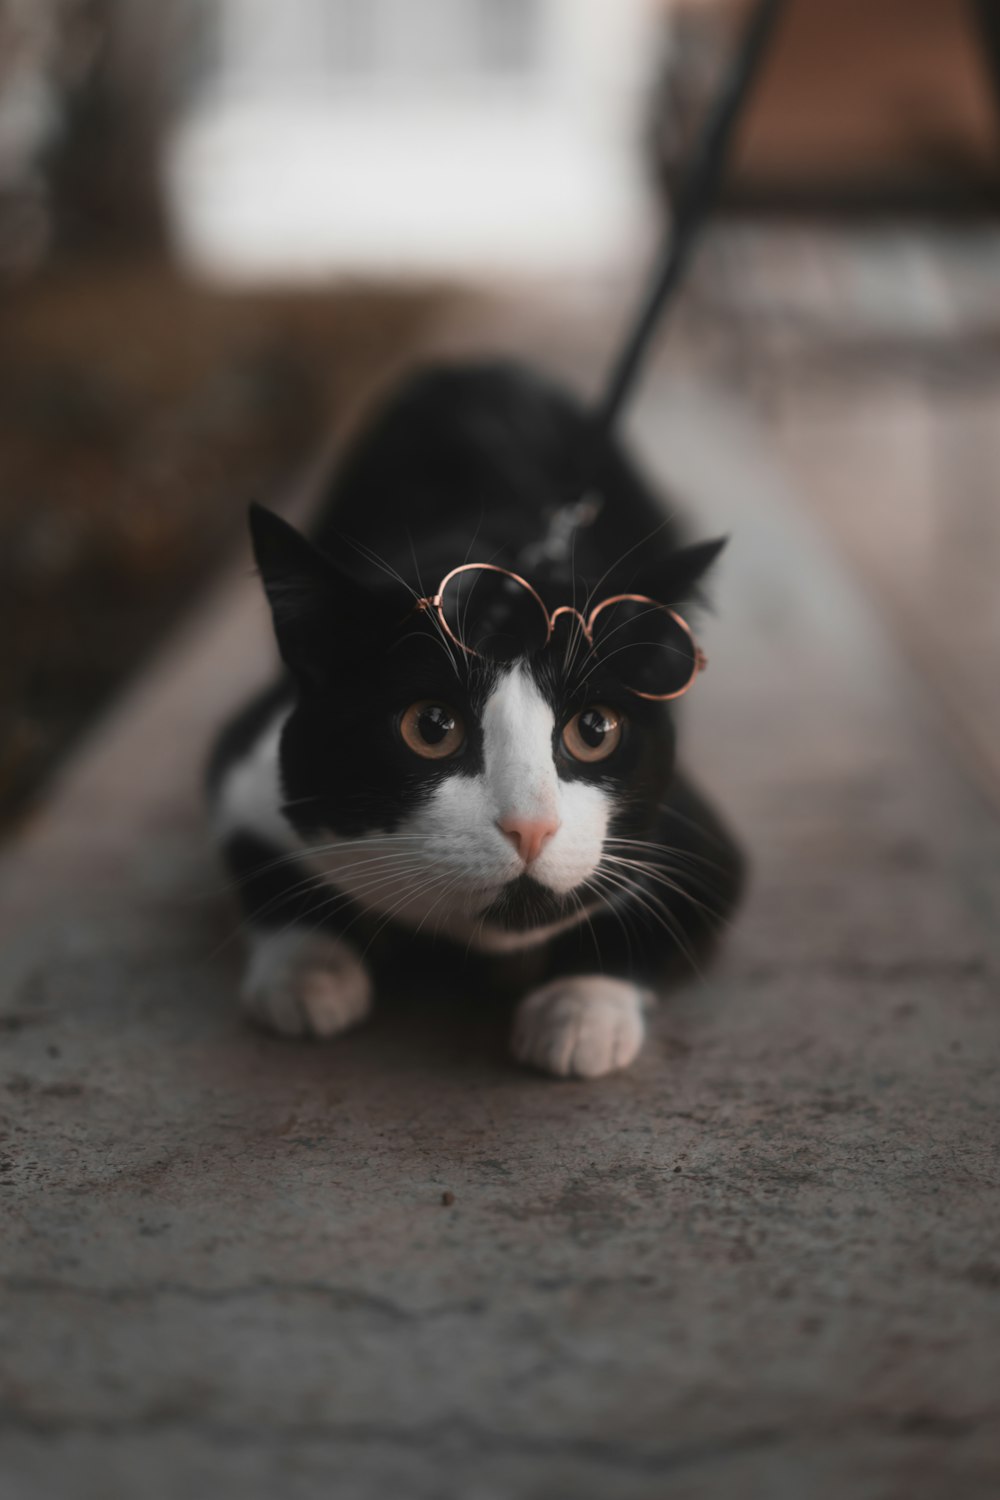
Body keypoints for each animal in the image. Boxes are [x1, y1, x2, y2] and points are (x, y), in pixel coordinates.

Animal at [209, 363, 743, 1080]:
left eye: (594, 729)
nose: (532, 828)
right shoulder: (246, 766)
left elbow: (653, 911)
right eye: (431, 726)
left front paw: (578, 1012)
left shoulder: (689, 832)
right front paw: (309, 974)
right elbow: (266, 866)